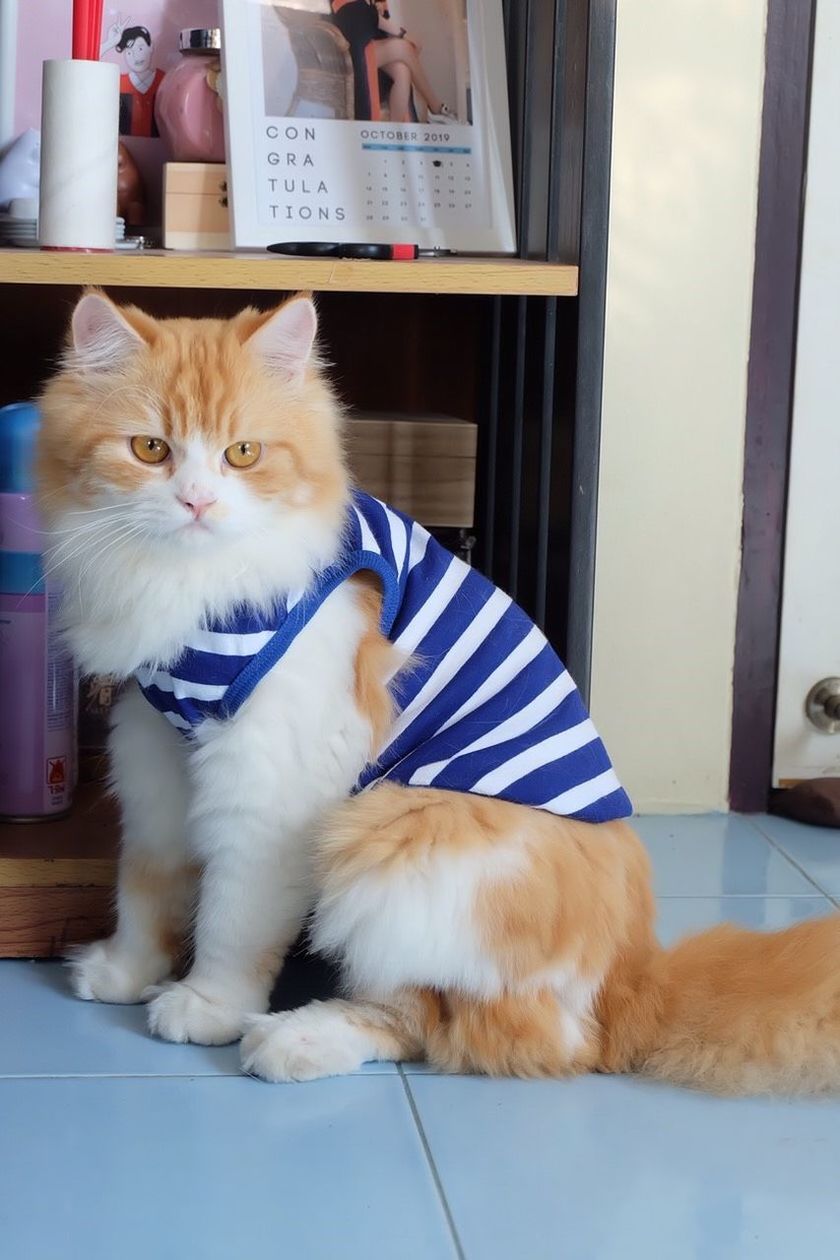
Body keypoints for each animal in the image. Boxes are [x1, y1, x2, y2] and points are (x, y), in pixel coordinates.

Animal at [37, 288, 840, 1093]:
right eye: (150, 450)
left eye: (243, 454)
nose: (197, 503)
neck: (189, 588)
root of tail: (633, 979)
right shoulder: (154, 747)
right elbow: (148, 882)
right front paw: (126, 970)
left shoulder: (270, 781)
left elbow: (233, 916)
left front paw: (206, 1005)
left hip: (396, 835)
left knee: (459, 1027)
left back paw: (293, 1038)